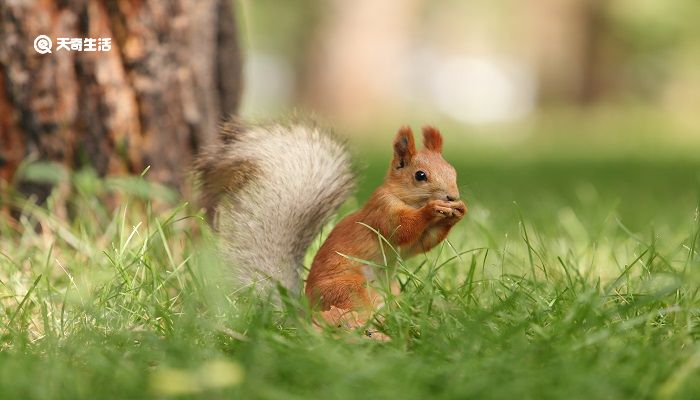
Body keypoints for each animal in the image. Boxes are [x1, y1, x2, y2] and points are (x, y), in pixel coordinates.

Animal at [194, 119, 464, 338]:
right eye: (420, 175)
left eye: (453, 171)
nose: (452, 196)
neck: (405, 198)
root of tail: (305, 308)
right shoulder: (381, 212)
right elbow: (403, 230)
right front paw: (432, 209)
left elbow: (420, 244)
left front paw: (457, 214)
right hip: (349, 289)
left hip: (389, 289)